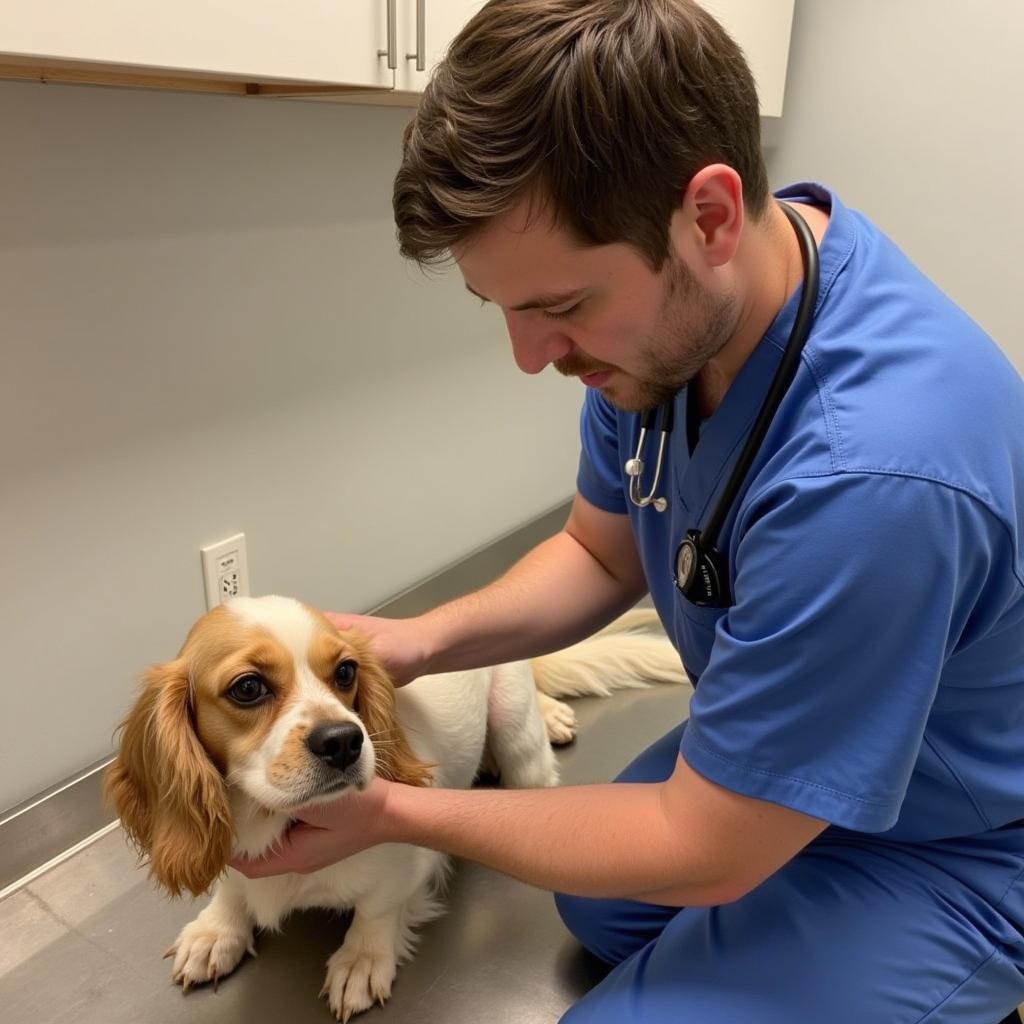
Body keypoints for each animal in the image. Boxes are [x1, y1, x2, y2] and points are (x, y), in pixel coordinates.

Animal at [105, 598, 688, 1019]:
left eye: (344, 672)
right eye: (248, 687)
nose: (344, 740)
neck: (268, 820)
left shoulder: (408, 864)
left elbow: (376, 908)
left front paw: (362, 958)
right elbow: (232, 887)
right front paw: (217, 931)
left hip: (516, 734)